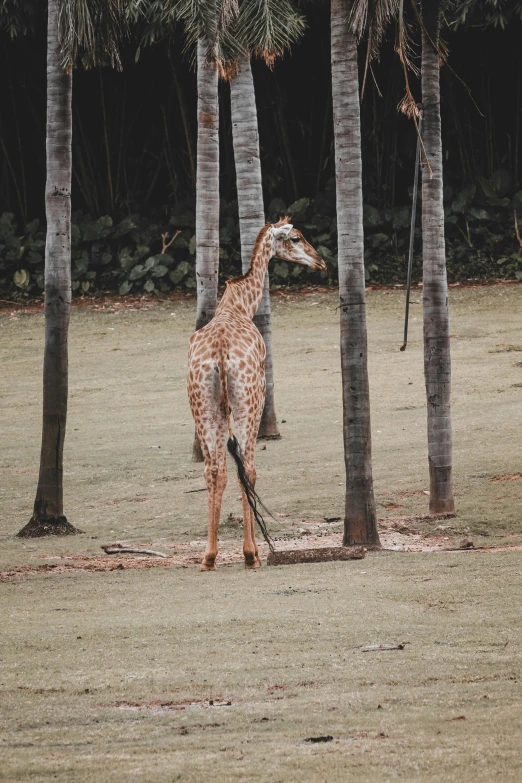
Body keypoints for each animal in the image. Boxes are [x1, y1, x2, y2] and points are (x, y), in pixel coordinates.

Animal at [187, 217, 324, 572]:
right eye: (296, 237)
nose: (320, 261)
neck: (238, 305)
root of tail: (221, 355)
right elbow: (247, 470)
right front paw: (253, 552)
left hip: (202, 404)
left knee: (214, 469)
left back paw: (208, 557)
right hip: (249, 401)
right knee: (246, 468)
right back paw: (251, 554)